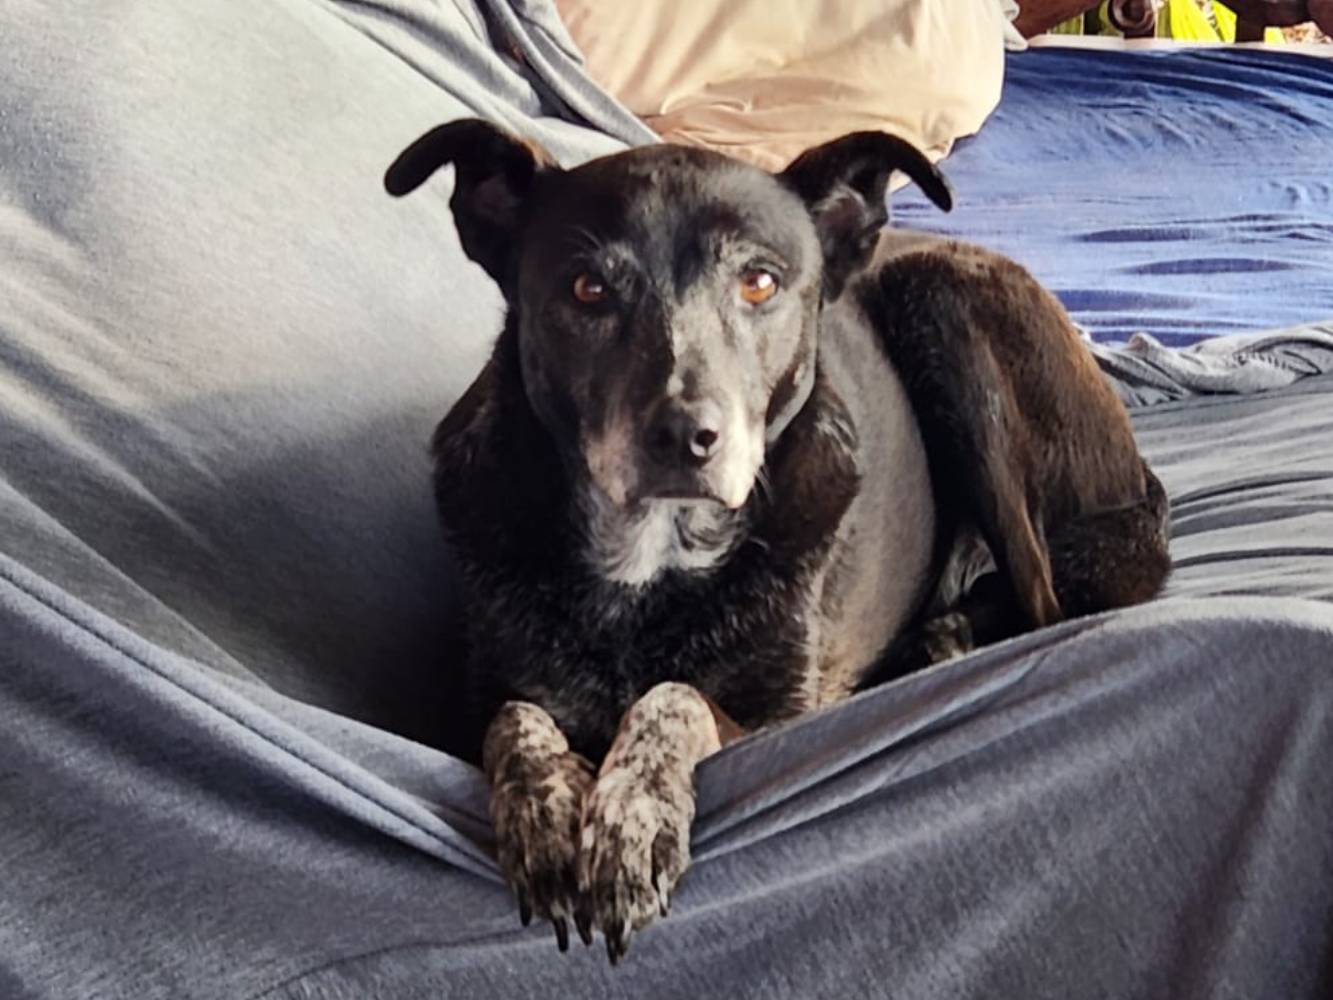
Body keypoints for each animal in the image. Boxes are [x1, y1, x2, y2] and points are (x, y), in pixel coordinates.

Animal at [383, 121, 1167, 965]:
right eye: (587, 289)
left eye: (758, 283)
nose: (684, 436)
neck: (651, 562)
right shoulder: (469, 707)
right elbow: (515, 720)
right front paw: (547, 811)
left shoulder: (779, 720)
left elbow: (674, 699)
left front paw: (631, 819)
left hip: (947, 307)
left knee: (1044, 605)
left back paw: (944, 641)